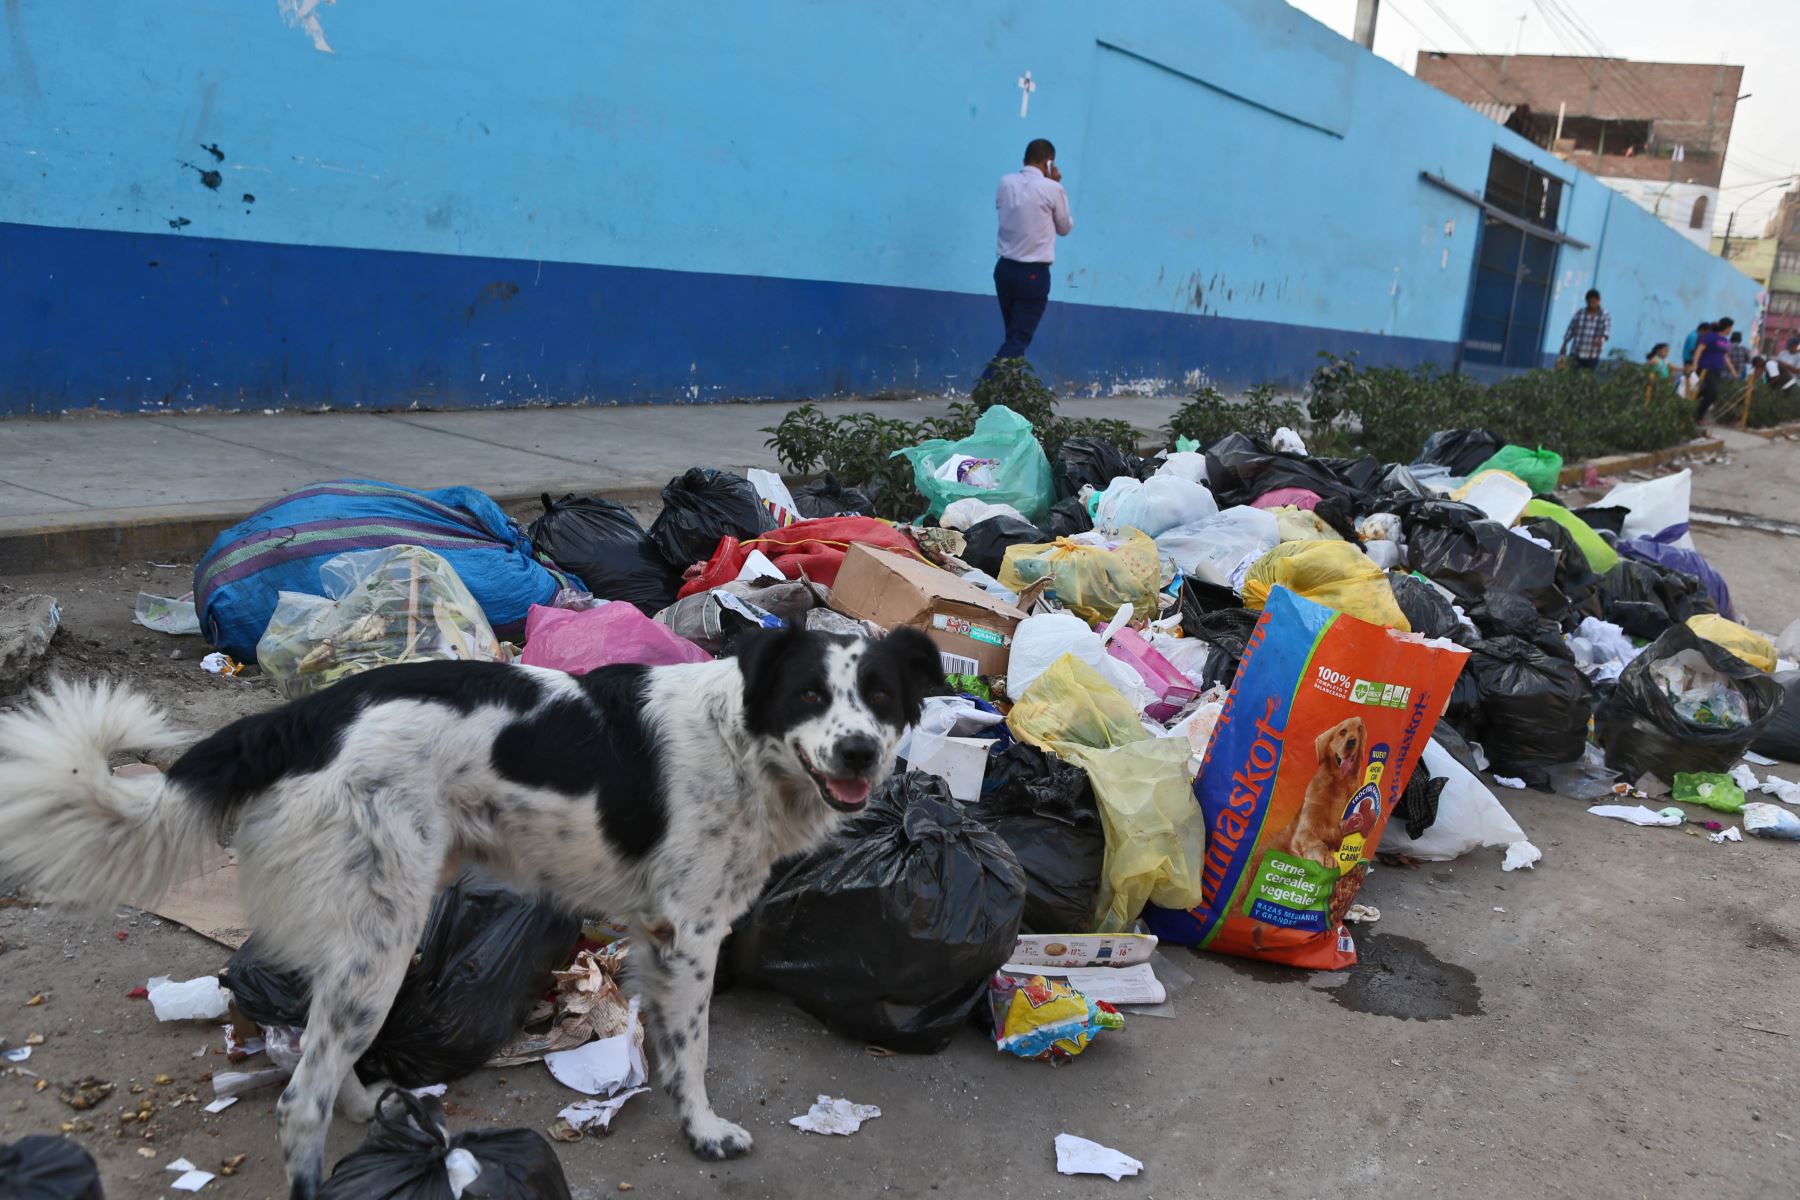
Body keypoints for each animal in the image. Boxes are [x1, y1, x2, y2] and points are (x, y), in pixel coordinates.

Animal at [0, 626, 950, 1194]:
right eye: (809, 697)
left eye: (881, 699)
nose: (860, 751)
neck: (743, 741)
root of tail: (308, 713)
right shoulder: (687, 934)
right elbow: (696, 1049)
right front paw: (705, 1130)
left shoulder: (653, 934)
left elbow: (669, 1045)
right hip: (385, 936)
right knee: (298, 1096)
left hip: (366, 935)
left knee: (316, 1047)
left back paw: (364, 1104)